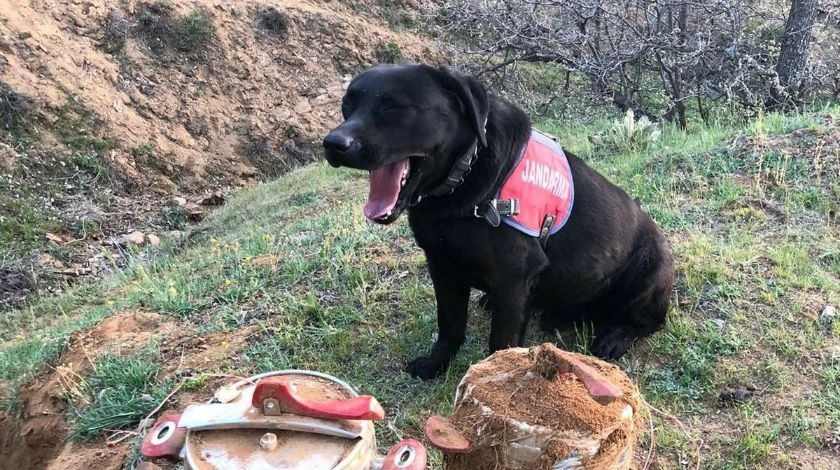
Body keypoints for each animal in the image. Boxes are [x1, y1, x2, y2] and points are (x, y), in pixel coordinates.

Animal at [324, 64, 676, 378]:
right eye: (346, 107)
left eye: (394, 107)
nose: (333, 144)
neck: (466, 175)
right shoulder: (442, 266)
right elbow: (449, 326)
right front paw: (436, 364)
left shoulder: (514, 278)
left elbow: (501, 344)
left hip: (649, 270)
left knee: (651, 322)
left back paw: (616, 336)